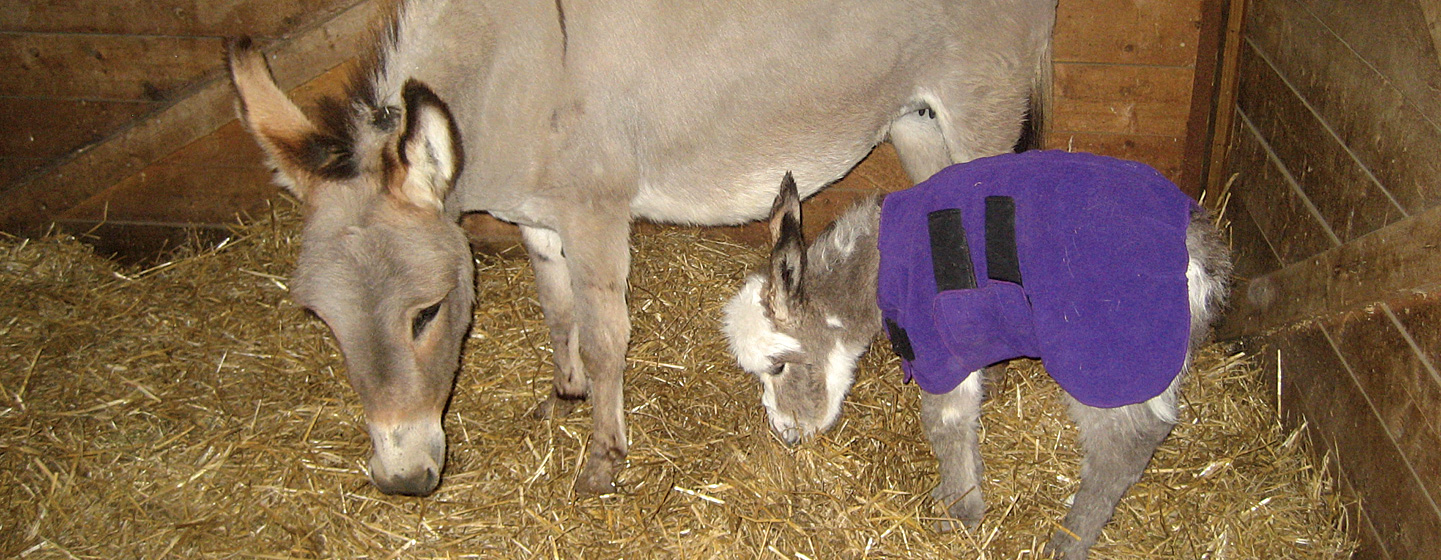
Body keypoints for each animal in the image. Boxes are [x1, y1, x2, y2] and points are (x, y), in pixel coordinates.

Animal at [726, 150, 1233, 555]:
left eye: (778, 366)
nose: (788, 435)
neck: (878, 269)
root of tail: (1194, 247)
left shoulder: (940, 349)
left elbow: (945, 422)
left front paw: (960, 509)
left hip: (1105, 353)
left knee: (1124, 448)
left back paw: (1067, 542)